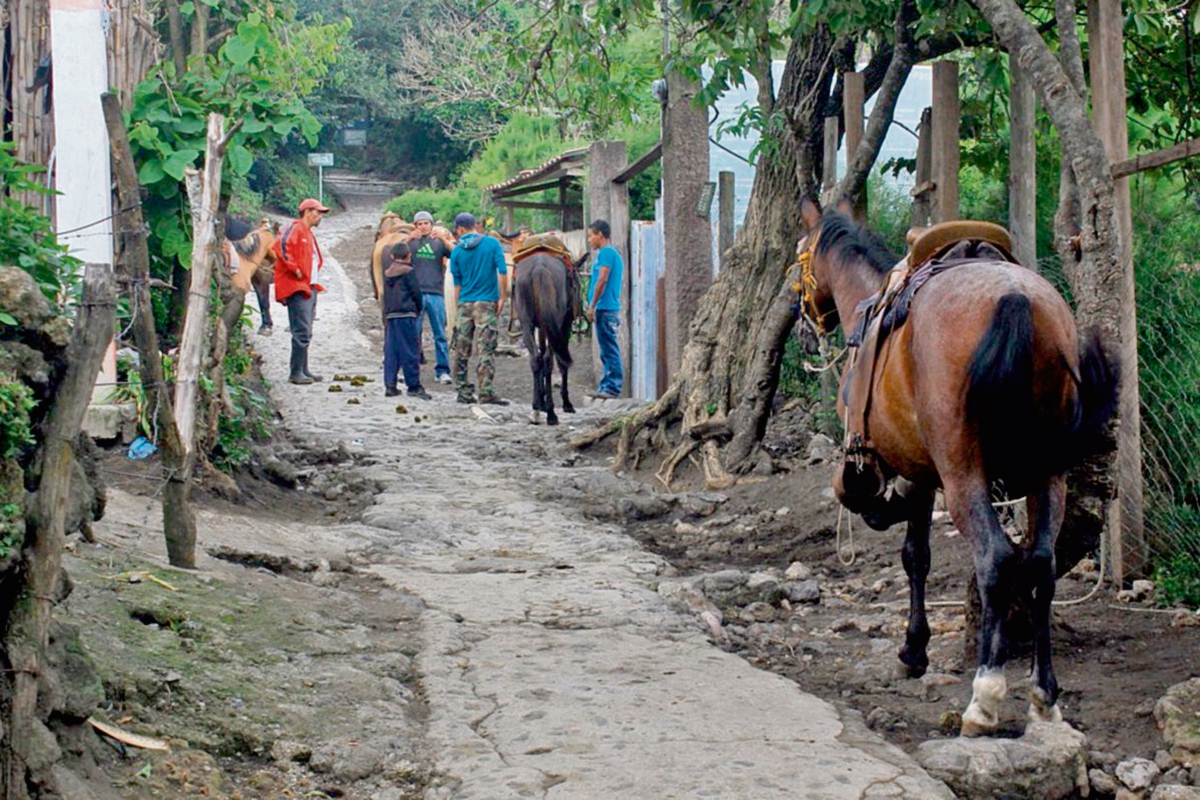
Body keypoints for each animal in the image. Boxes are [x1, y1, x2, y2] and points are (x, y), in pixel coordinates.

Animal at [796, 199, 1123, 738]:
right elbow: (915, 548)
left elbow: (905, 544)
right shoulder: (925, 471)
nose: (804, 326)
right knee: (1040, 563)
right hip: (1046, 476)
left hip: (962, 472)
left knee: (995, 558)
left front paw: (914, 649)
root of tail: (1017, 298)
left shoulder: (901, 466)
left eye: (799, 257)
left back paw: (984, 697)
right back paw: (1043, 695)